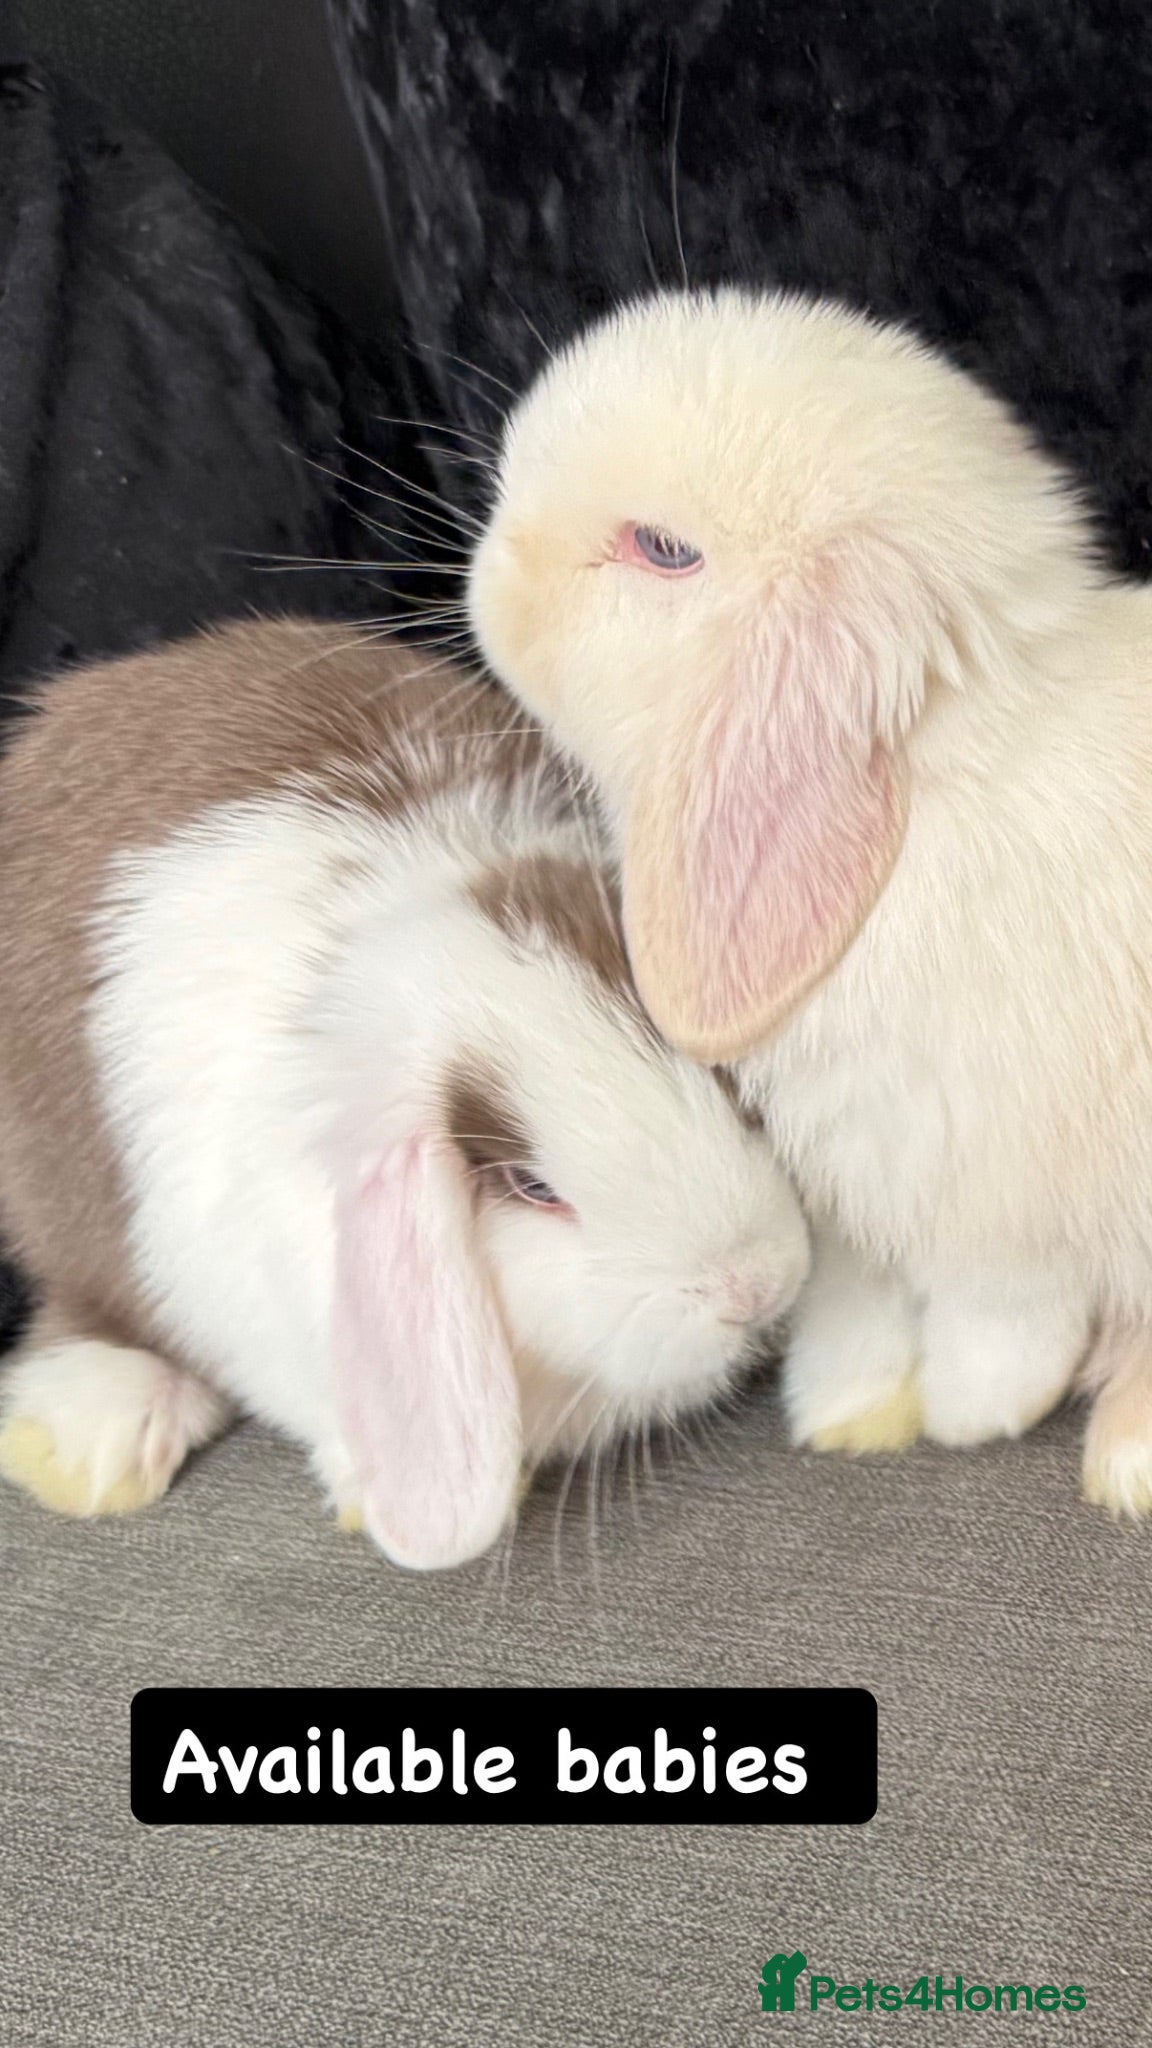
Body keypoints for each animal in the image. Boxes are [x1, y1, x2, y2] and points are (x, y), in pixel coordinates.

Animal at [468, 283, 1152, 1518]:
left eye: (665, 550)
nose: (490, 566)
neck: (934, 785)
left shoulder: (996, 1195)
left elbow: (1005, 1316)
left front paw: (972, 1412)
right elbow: (859, 1292)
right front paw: (849, 1409)